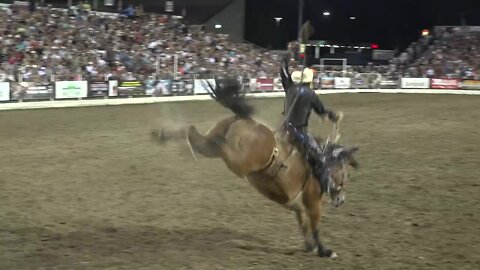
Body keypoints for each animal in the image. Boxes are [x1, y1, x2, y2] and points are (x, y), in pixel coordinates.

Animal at [152, 77, 358, 258]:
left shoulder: (289, 201)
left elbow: (301, 219)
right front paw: (325, 251)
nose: (341, 200)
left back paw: (164, 135)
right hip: (237, 161)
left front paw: (309, 246)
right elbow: (314, 225)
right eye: (344, 175)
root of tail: (243, 119)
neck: (319, 163)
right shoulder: (312, 200)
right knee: (219, 145)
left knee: (192, 131)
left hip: (210, 146)